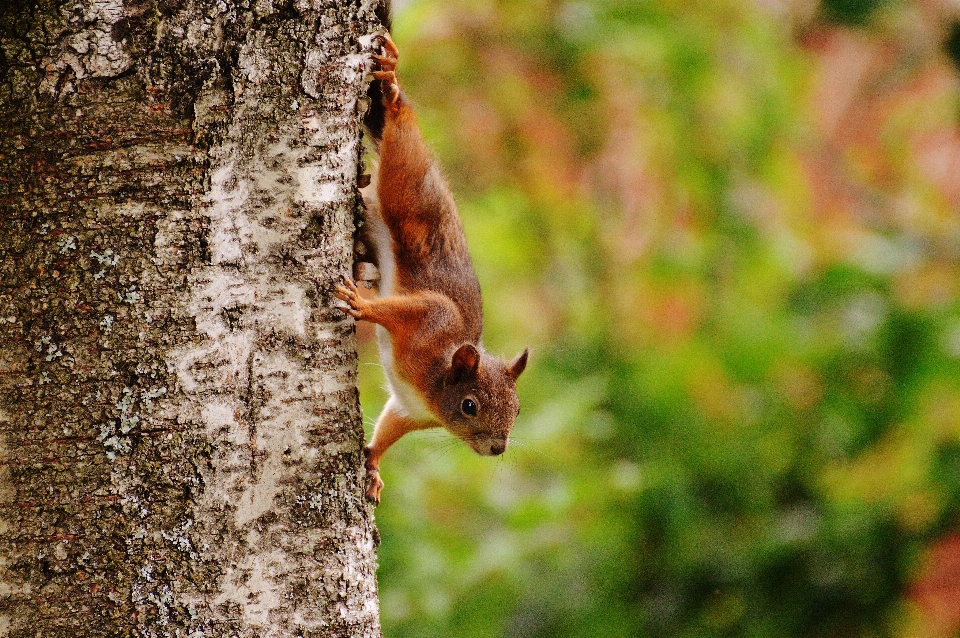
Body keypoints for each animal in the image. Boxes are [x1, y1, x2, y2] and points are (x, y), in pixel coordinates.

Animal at [336, 35, 528, 504]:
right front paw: (362, 307)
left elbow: (388, 429)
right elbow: (409, 308)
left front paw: (373, 465)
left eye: (517, 408)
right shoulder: (431, 319)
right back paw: (392, 88)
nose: (498, 448)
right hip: (406, 188)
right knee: (400, 132)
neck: (435, 381)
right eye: (470, 405)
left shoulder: (409, 410)